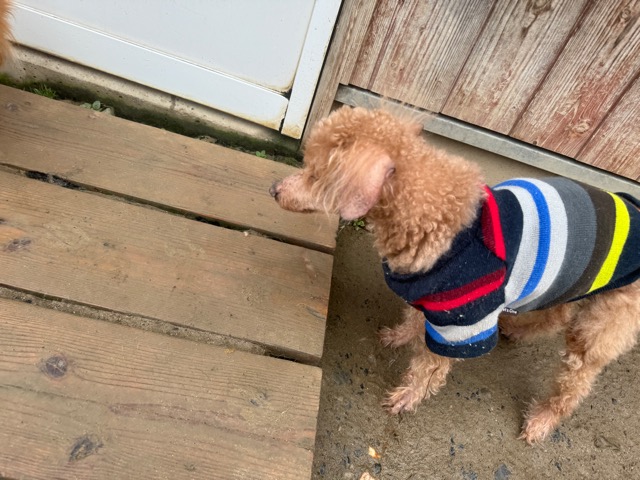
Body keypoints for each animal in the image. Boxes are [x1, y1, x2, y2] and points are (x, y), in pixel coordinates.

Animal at [270, 105, 640, 444]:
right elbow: (415, 321)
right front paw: (400, 336)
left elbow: (429, 368)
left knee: (576, 380)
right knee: (557, 314)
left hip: (603, 325)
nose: (273, 189)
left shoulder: (462, 322)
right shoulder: (433, 296)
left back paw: (542, 420)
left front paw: (407, 397)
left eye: (315, 174)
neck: (434, 216)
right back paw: (517, 330)